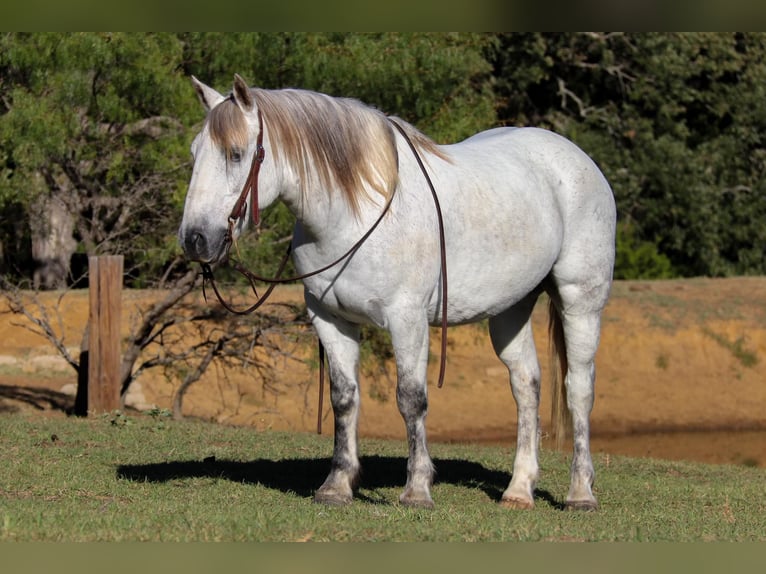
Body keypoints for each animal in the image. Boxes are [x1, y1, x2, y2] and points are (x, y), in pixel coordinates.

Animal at [180, 74, 616, 510]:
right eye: (194, 153)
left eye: (236, 154)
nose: (194, 239)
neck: (356, 213)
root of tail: (577, 158)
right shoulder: (330, 319)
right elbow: (344, 398)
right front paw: (337, 485)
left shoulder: (407, 319)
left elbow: (411, 399)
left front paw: (417, 490)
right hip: (510, 309)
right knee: (526, 385)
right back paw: (519, 490)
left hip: (580, 302)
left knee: (578, 389)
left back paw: (580, 492)